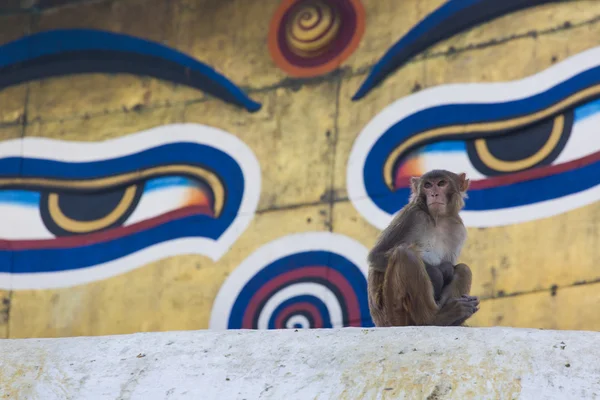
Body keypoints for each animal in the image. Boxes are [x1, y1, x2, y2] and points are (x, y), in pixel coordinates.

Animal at [364, 168, 480, 324]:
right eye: (428, 185)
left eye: (441, 183)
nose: (434, 194)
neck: (437, 219)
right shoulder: (412, 215)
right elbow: (376, 256)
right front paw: (437, 273)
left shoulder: (457, 228)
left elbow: (451, 265)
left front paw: (447, 269)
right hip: (394, 315)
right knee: (405, 254)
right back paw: (434, 318)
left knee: (463, 269)